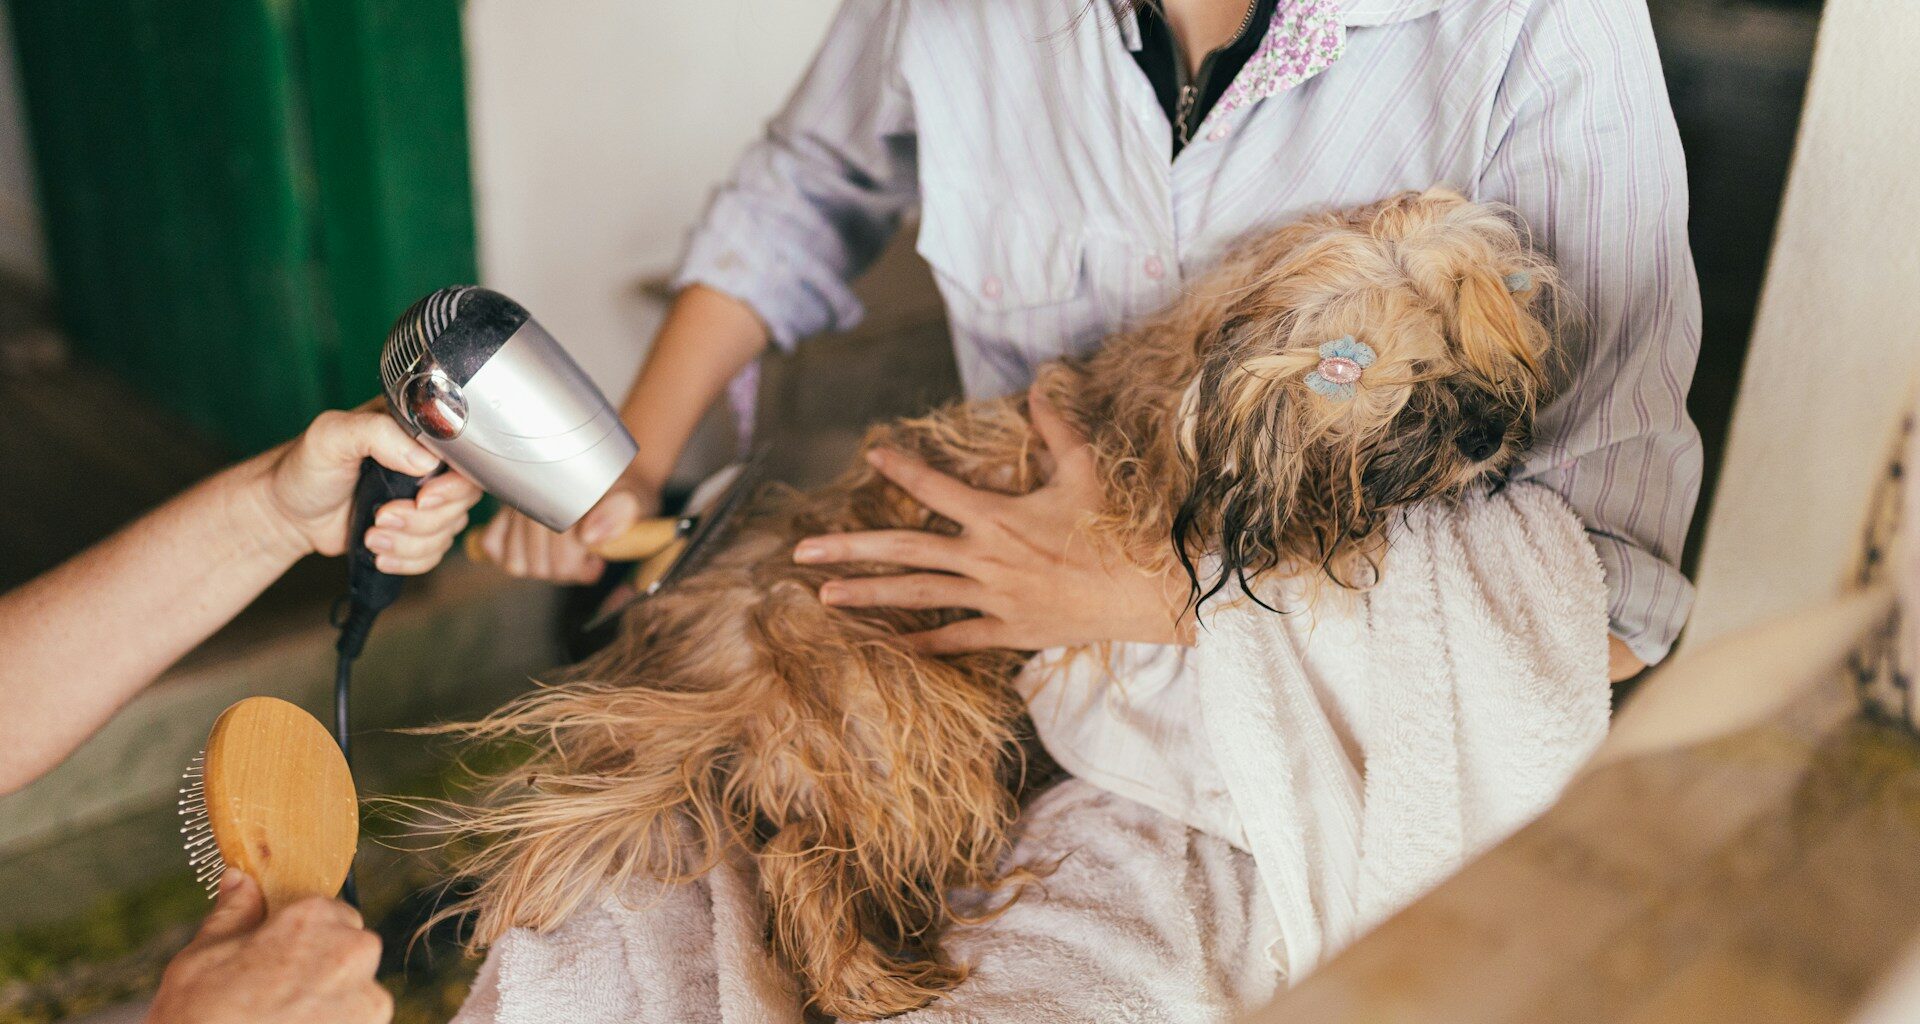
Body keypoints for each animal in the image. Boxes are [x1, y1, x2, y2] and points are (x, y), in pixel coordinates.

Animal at [435, 187, 1559, 1014]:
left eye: (1469, 334)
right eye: (1375, 367)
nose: (1484, 432)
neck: (1190, 391)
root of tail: (739, 676)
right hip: (924, 711)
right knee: (803, 859)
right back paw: (873, 979)